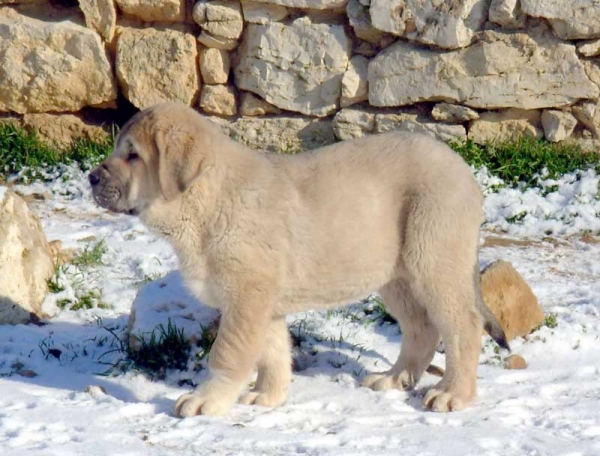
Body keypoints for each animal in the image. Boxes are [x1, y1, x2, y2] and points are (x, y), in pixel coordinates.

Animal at [89, 102, 508, 416]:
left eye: (133, 155)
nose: (92, 177)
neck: (205, 202)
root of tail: (465, 171)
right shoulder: (263, 303)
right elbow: (272, 352)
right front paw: (268, 396)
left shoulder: (247, 296)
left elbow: (228, 353)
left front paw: (207, 399)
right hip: (396, 276)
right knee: (422, 327)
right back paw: (392, 378)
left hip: (434, 260)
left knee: (463, 326)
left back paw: (453, 393)